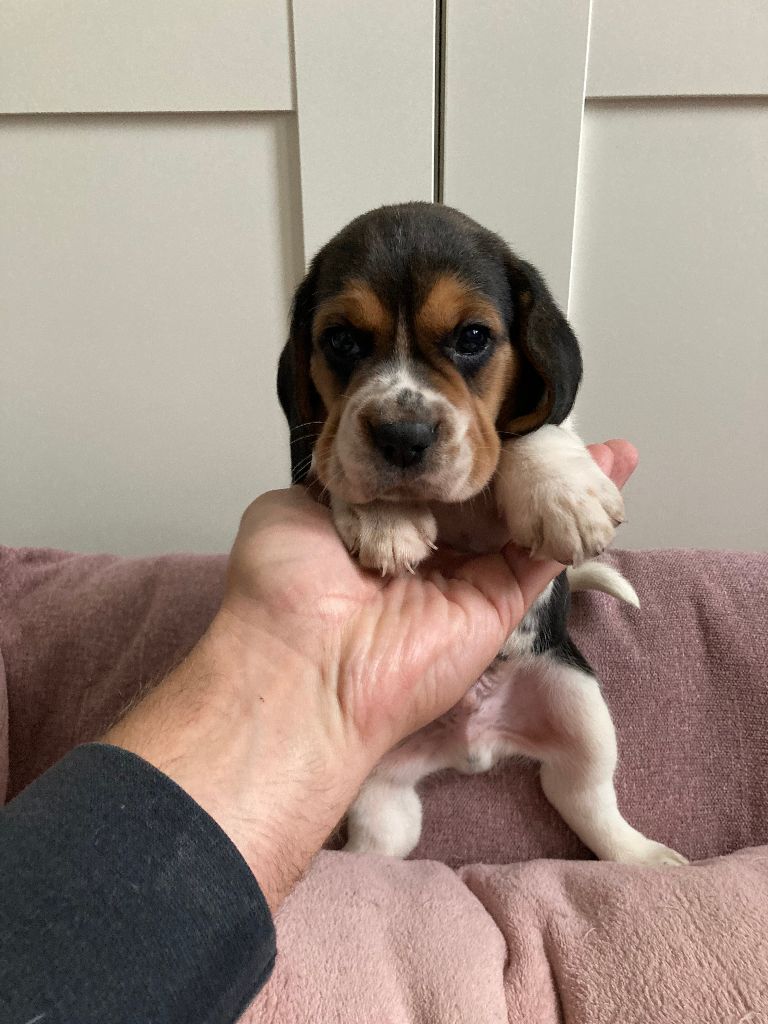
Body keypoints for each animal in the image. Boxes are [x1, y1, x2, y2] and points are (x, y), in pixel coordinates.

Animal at [277, 202, 686, 867]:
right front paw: (383, 516)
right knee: (382, 842)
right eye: (340, 340)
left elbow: (528, 430)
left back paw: (645, 860)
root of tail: (474, 746)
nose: (403, 436)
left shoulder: (529, 419)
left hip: (581, 704)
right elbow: (336, 456)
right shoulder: (324, 444)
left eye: (472, 338)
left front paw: (562, 493)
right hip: (374, 785)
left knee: (586, 797)